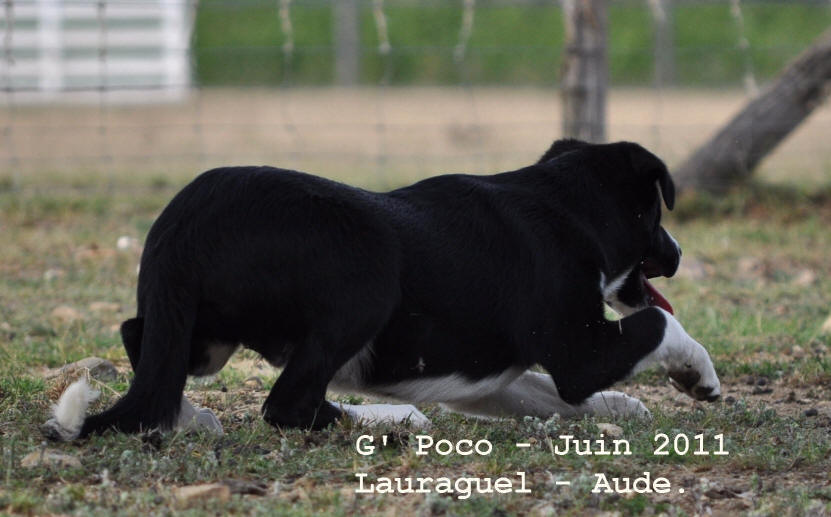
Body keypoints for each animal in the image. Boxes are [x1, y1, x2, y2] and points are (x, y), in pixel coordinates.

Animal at [44, 138, 720, 440]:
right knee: (288, 406)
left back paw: (186, 414)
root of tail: (181, 226)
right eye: (656, 215)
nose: (678, 253)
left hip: (203, 339)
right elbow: (658, 325)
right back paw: (393, 417)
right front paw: (697, 374)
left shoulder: (487, 375)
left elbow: (547, 394)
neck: (567, 206)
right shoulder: (580, 352)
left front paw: (622, 406)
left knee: (144, 346)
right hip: (367, 272)